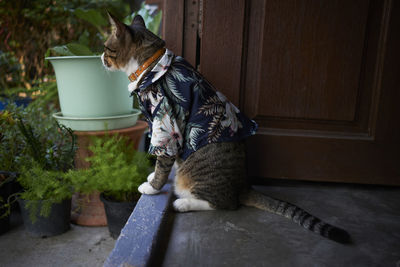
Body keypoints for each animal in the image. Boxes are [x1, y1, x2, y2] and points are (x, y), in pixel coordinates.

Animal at [102, 13, 350, 245]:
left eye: (106, 47)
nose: (101, 57)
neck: (149, 64)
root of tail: (243, 185)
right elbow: (161, 163)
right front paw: (152, 175)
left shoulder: (166, 124)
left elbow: (163, 162)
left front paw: (152, 187)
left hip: (195, 176)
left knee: (226, 203)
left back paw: (183, 203)